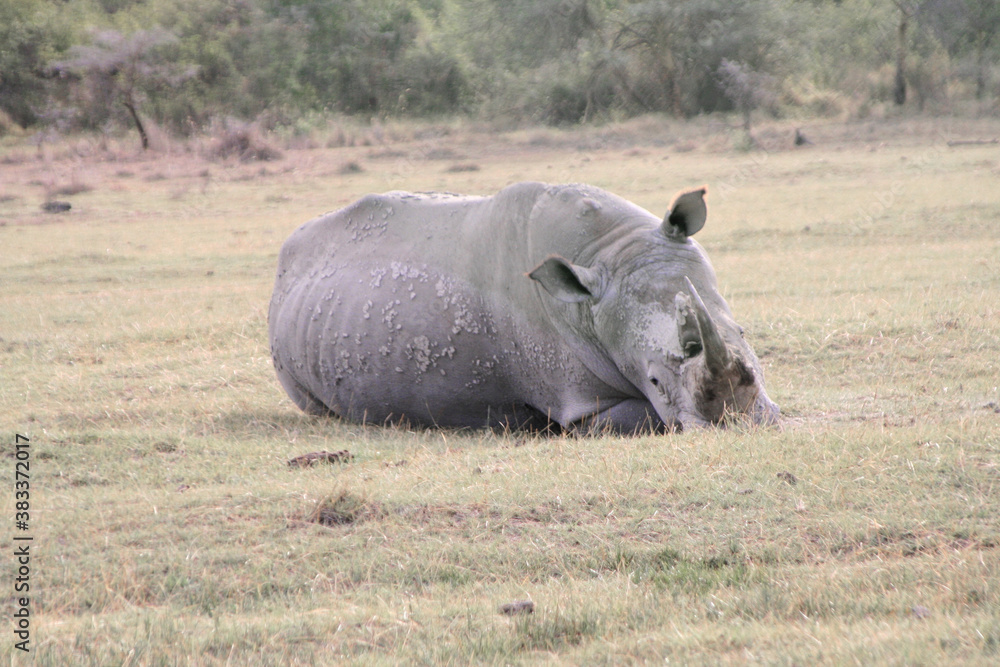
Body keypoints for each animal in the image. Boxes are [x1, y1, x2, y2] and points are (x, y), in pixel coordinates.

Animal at [268, 182, 778, 432]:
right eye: (653, 380)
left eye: (743, 334)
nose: (744, 422)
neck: (608, 253)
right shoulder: (583, 403)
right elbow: (646, 419)